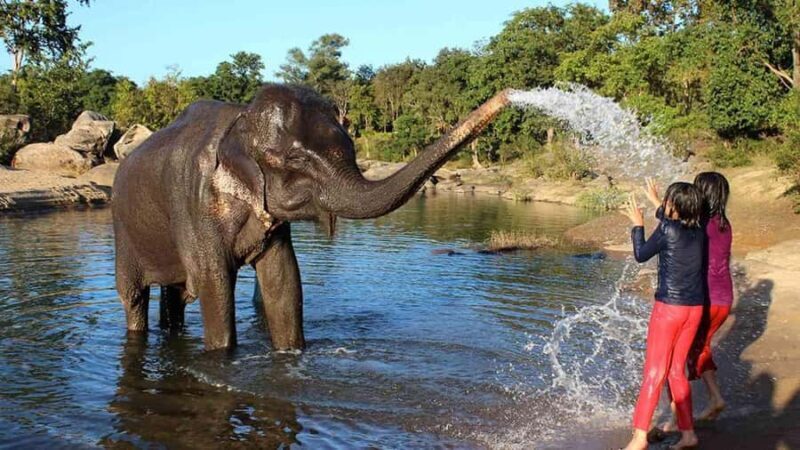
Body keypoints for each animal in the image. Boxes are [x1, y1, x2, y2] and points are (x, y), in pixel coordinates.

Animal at [112, 84, 510, 351]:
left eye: (351, 148)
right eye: (296, 160)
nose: (508, 95)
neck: (241, 120)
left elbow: (284, 280)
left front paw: (291, 354)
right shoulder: (195, 204)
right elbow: (215, 282)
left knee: (175, 293)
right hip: (124, 232)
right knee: (134, 296)